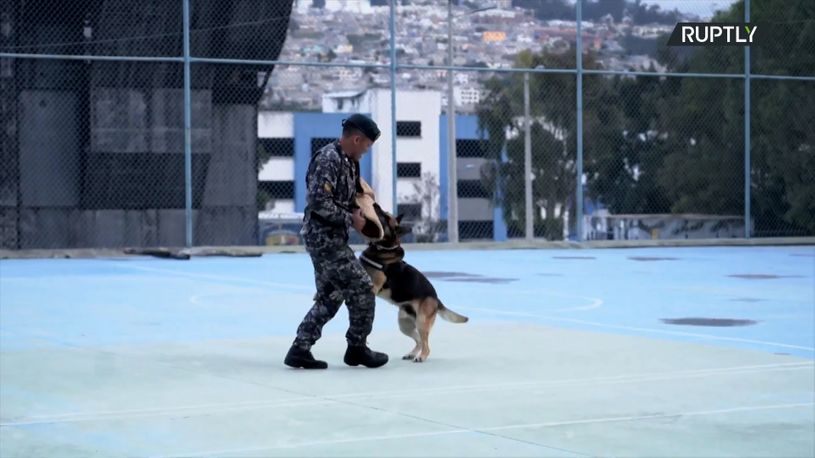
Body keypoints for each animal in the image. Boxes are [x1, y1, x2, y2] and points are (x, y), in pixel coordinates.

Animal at [358, 204, 468, 362]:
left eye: (385, 216)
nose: (374, 205)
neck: (384, 247)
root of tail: (436, 299)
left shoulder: (377, 282)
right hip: (405, 325)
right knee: (419, 340)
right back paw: (412, 353)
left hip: (421, 322)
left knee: (426, 344)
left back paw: (421, 356)